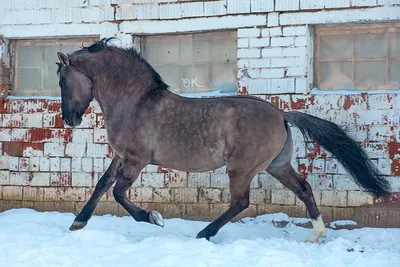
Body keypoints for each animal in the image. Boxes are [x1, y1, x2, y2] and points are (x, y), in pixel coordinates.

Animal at [57, 37, 390, 245]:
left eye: (62, 80)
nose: (70, 120)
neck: (136, 102)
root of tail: (282, 114)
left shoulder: (136, 160)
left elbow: (118, 193)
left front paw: (154, 218)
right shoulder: (122, 156)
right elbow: (102, 185)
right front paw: (78, 223)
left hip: (242, 168)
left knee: (240, 201)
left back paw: (204, 233)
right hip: (276, 165)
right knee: (303, 189)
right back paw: (315, 235)